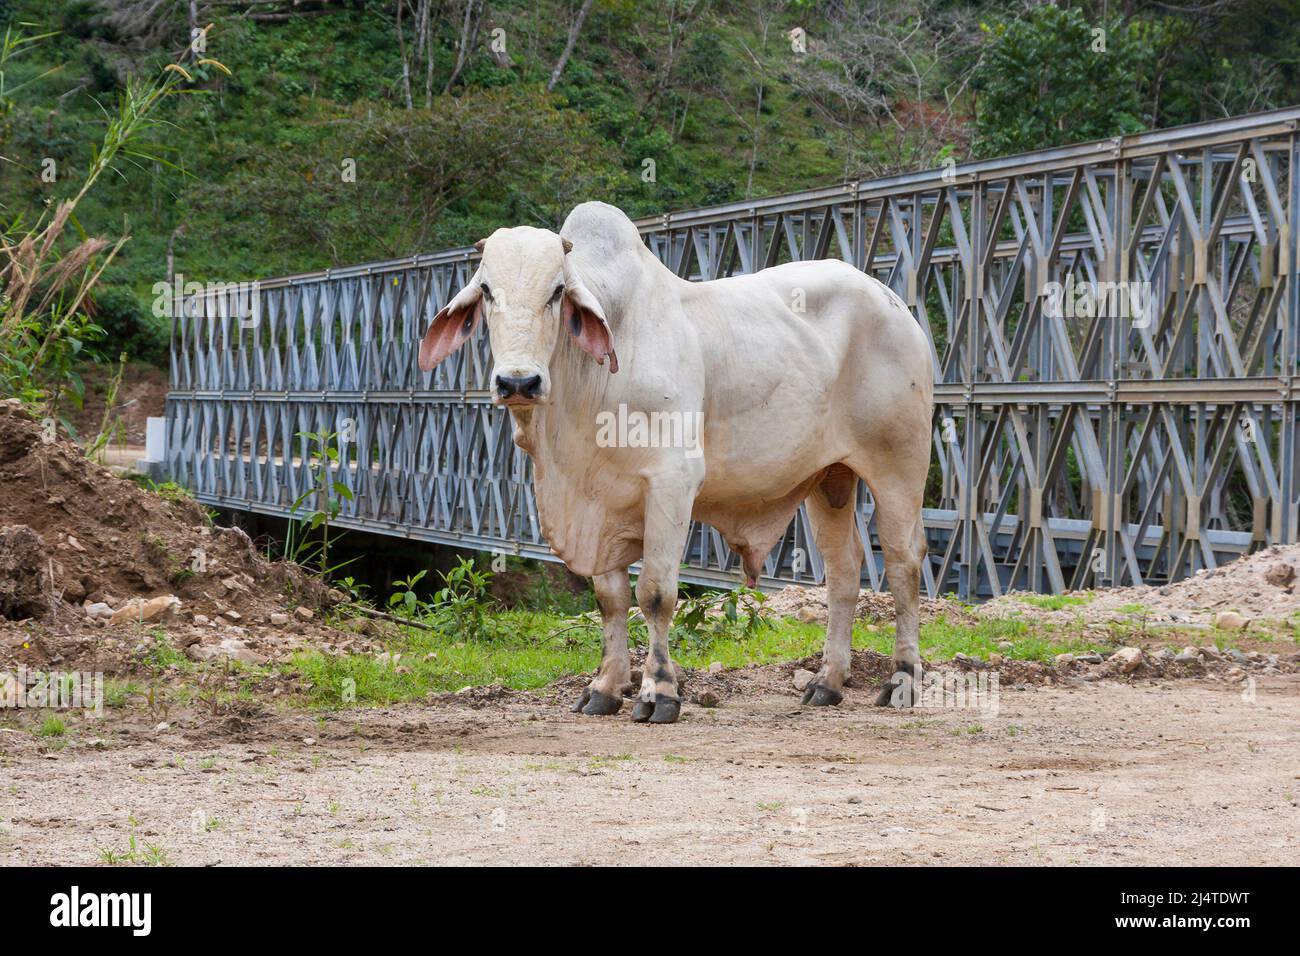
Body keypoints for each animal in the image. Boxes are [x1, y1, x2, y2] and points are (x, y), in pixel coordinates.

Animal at [421, 204, 930, 723]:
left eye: (557, 291)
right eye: (486, 290)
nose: (518, 382)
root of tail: (890, 299)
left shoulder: (671, 482)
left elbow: (655, 593)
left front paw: (659, 692)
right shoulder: (600, 500)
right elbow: (611, 600)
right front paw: (604, 688)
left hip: (899, 465)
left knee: (904, 563)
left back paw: (902, 680)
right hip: (830, 478)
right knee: (844, 570)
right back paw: (827, 682)